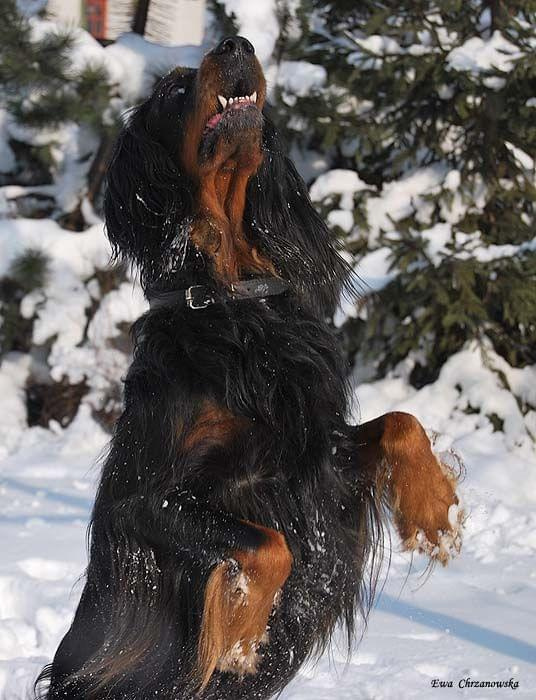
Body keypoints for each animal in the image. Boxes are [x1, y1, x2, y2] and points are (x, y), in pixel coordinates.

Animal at [37, 35, 464, 696]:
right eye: (171, 89)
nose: (236, 43)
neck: (233, 300)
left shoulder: (318, 462)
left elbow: (400, 423)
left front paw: (435, 512)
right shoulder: (144, 500)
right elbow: (269, 545)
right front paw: (241, 633)